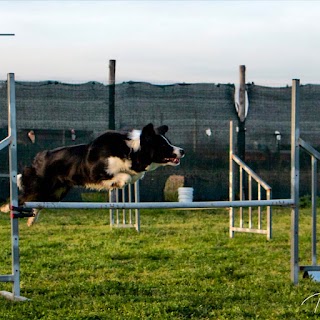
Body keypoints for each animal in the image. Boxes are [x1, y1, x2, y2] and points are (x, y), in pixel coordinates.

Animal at [0, 122, 185, 225]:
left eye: (169, 142)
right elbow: (124, 176)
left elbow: (131, 176)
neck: (132, 150)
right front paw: (118, 181)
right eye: (164, 146)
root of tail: (38, 158)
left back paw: (31, 220)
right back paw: (7, 209)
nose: (182, 151)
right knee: (23, 198)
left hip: (56, 193)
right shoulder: (95, 171)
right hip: (40, 186)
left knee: (38, 204)